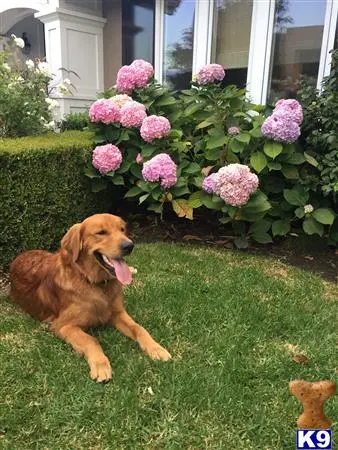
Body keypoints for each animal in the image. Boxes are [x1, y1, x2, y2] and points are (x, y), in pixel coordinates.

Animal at [9, 214, 172, 380]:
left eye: (122, 230)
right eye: (101, 232)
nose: (129, 246)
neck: (94, 282)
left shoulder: (118, 313)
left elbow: (138, 328)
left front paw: (156, 348)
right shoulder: (63, 326)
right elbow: (91, 340)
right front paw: (101, 365)